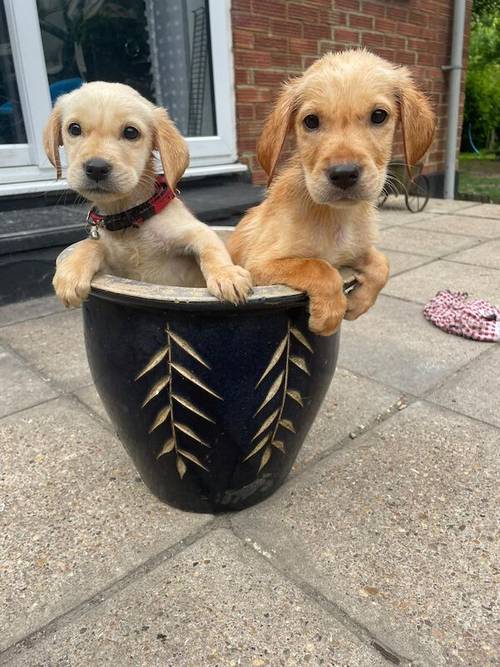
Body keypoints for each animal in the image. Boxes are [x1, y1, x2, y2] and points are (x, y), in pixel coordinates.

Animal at [46, 81, 254, 308]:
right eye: (74, 128)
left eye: (131, 132)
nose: (96, 168)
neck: (129, 217)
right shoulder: (116, 267)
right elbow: (90, 245)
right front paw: (71, 271)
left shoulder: (197, 232)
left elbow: (211, 249)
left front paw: (226, 275)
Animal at [229, 49, 436, 336]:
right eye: (311, 121)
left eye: (379, 116)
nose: (344, 174)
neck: (337, 217)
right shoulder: (259, 264)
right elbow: (319, 267)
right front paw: (329, 315)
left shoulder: (357, 250)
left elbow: (382, 263)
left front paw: (358, 303)